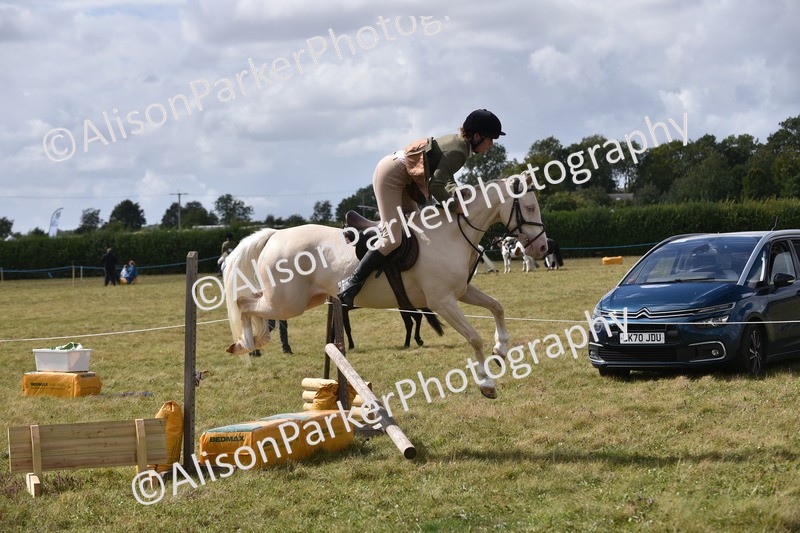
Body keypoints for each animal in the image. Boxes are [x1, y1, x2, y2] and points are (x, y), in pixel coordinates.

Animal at [222, 173, 548, 399]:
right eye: (530, 207)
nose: (542, 248)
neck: (452, 233)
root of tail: (275, 234)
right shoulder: (442, 302)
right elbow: (474, 338)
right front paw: (487, 383)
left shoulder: (461, 292)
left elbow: (497, 306)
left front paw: (501, 348)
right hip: (287, 302)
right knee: (244, 303)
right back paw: (247, 343)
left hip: (304, 299)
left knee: (252, 304)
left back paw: (252, 342)